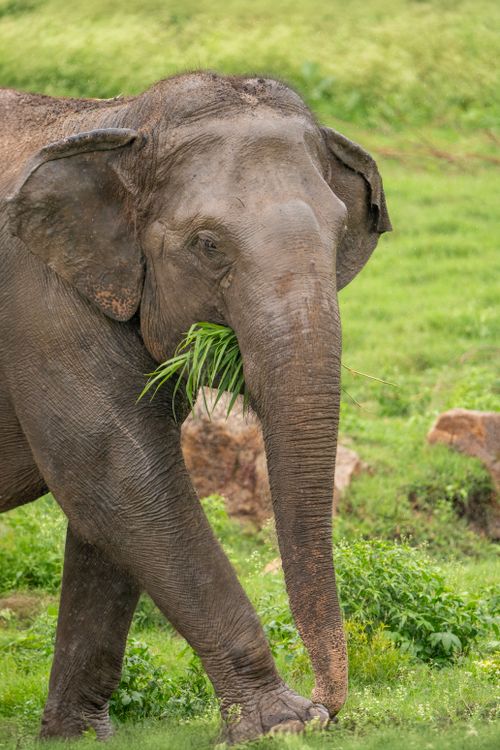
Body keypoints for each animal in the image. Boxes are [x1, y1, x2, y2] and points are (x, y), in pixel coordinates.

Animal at [0, 72, 391, 743]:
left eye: (340, 234)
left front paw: (75, 739)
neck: (125, 119)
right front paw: (281, 725)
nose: (329, 706)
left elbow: (110, 505)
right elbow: (116, 475)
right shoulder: (40, 306)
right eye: (207, 245)